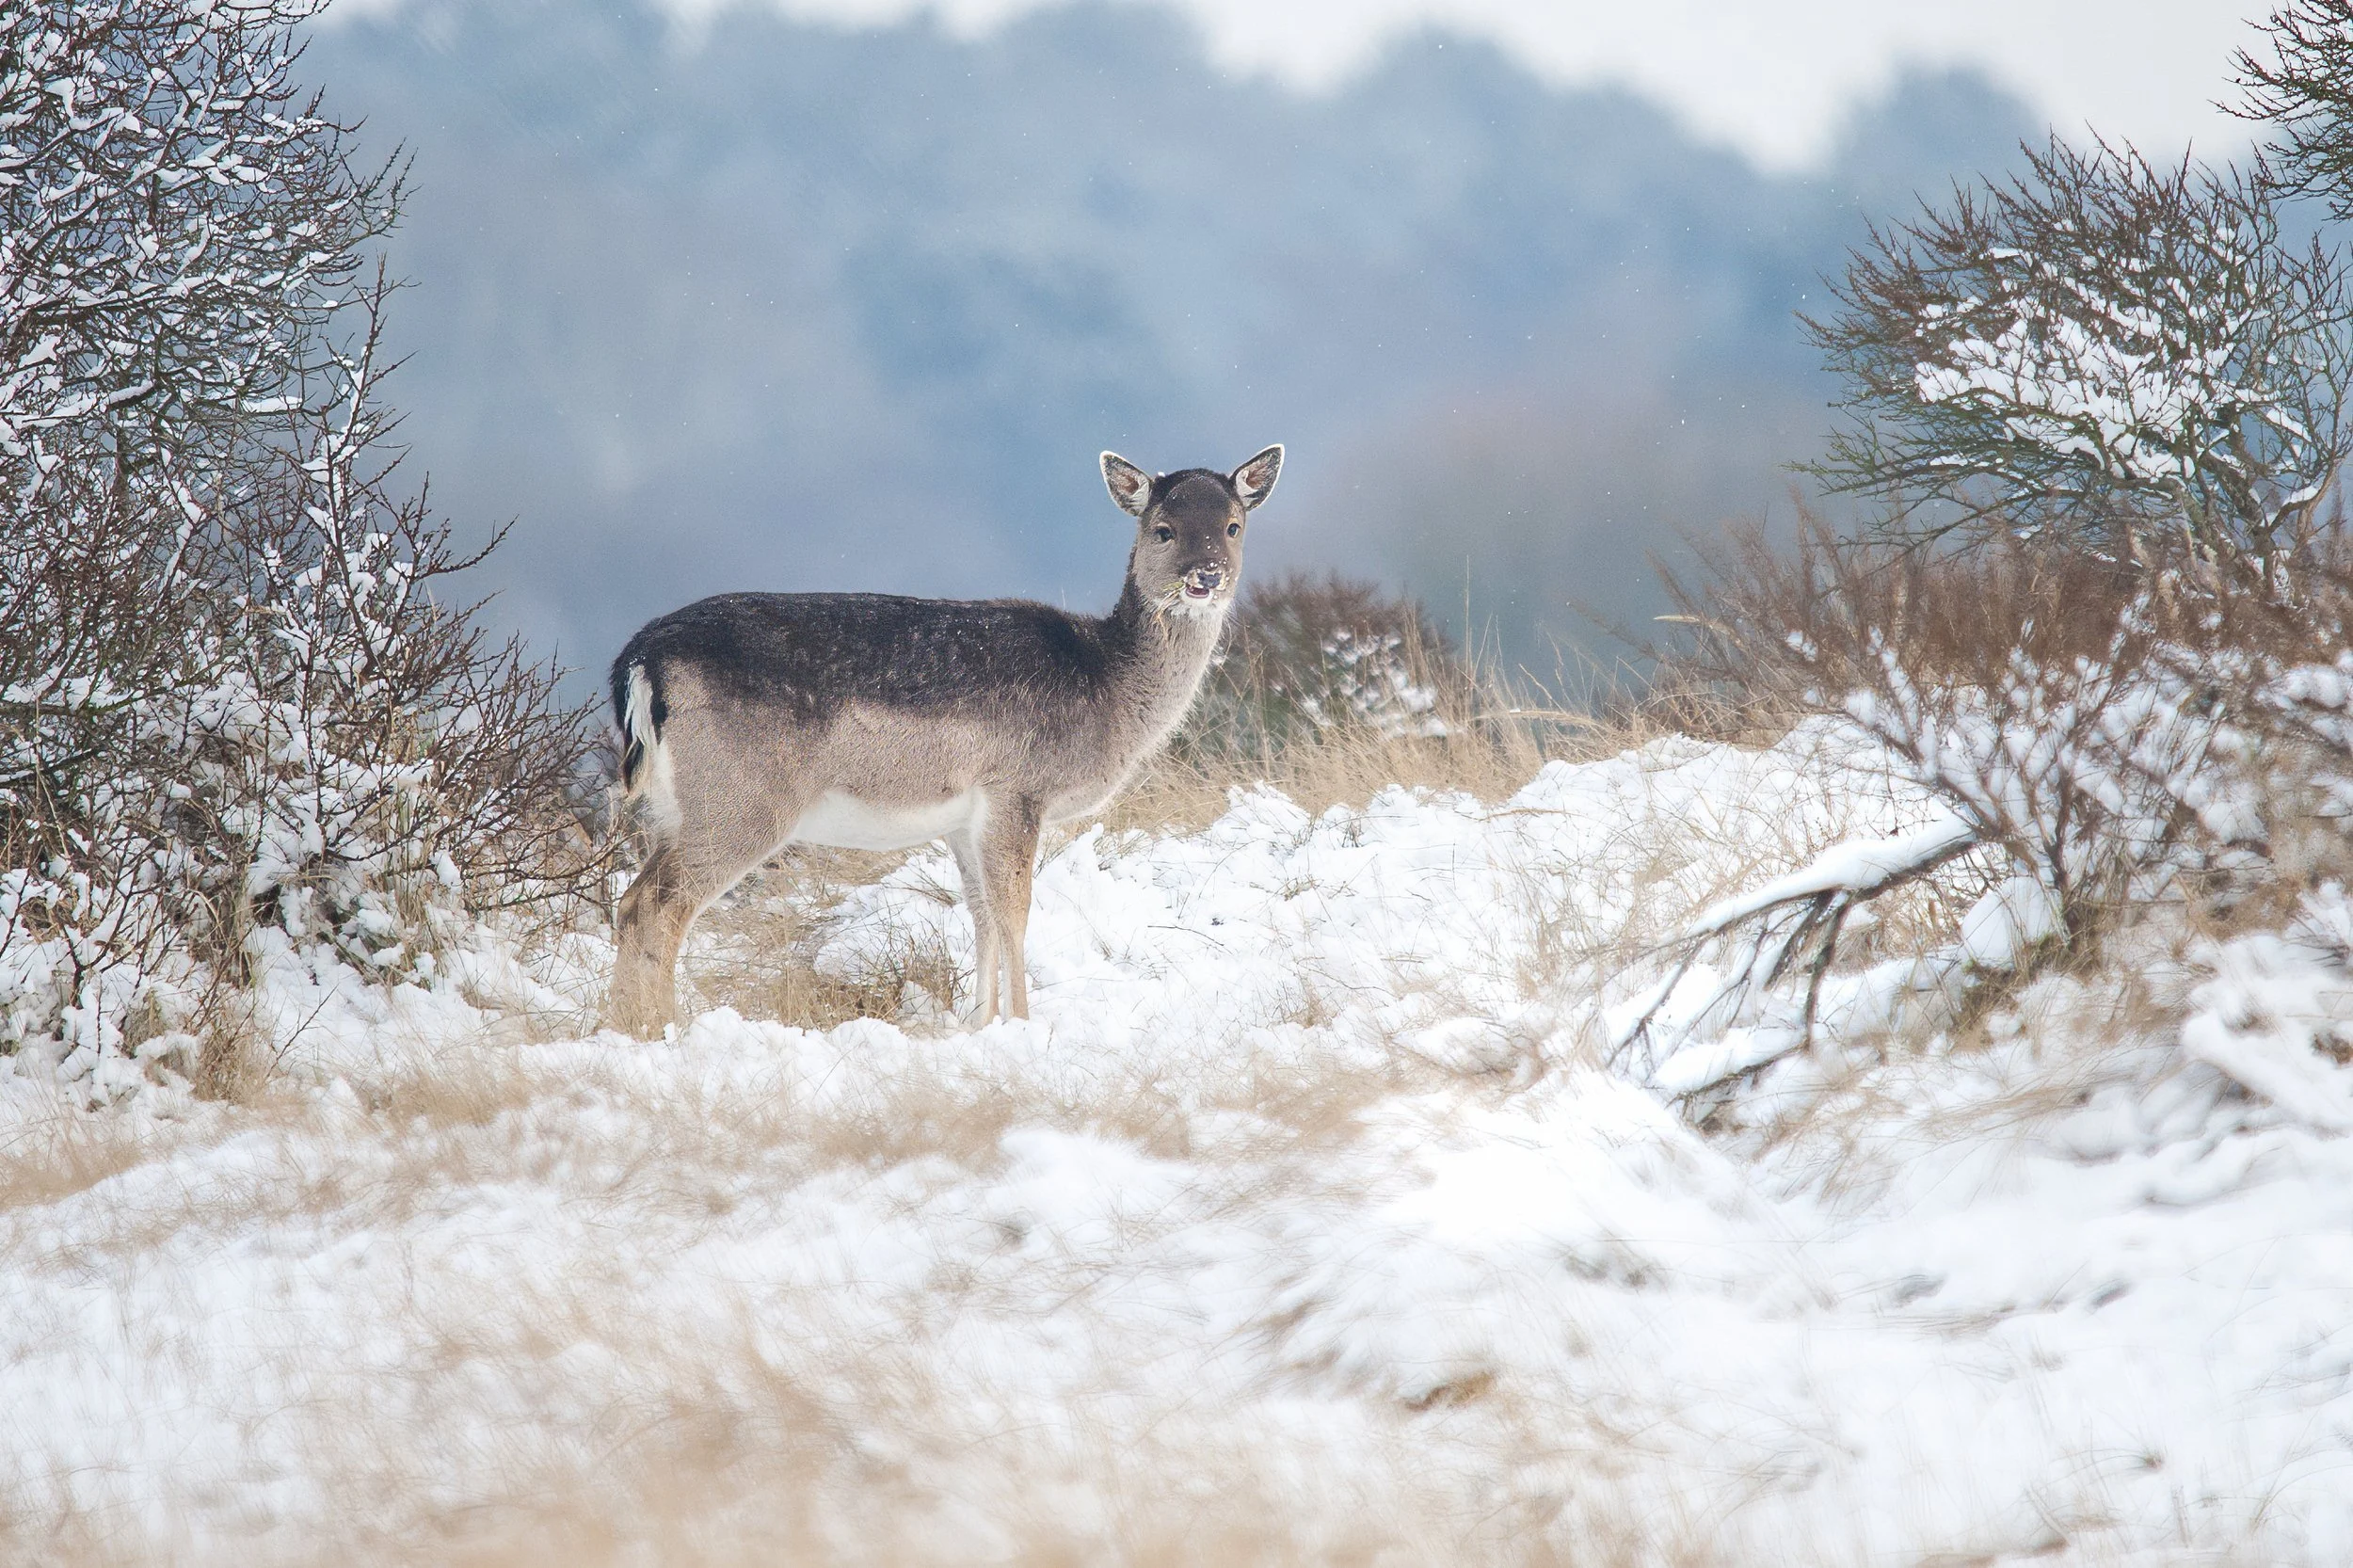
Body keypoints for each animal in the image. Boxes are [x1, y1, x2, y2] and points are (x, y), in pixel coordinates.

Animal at [602, 445, 1283, 1039]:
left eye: (1232, 526)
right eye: (1162, 529)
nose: (1205, 577)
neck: (1106, 690)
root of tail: (640, 660)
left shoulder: (963, 819)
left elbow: (980, 914)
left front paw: (979, 1024)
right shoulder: (1017, 790)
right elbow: (1015, 912)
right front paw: (1023, 1025)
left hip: (673, 809)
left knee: (633, 902)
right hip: (740, 799)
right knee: (653, 907)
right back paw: (659, 1030)